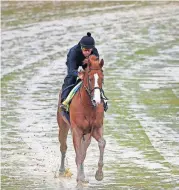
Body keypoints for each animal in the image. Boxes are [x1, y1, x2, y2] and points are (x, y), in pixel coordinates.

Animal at [56, 54, 105, 185]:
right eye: (90, 79)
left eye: (102, 79)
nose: (97, 101)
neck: (87, 106)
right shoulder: (77, 130)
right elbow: (78, 154)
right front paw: (78, 179)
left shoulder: (94, 129)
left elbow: (101, 143)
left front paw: (99, 174)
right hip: (63, 126)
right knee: (63, 147)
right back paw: (62, 171)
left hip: (86, 134)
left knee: (83, 151)